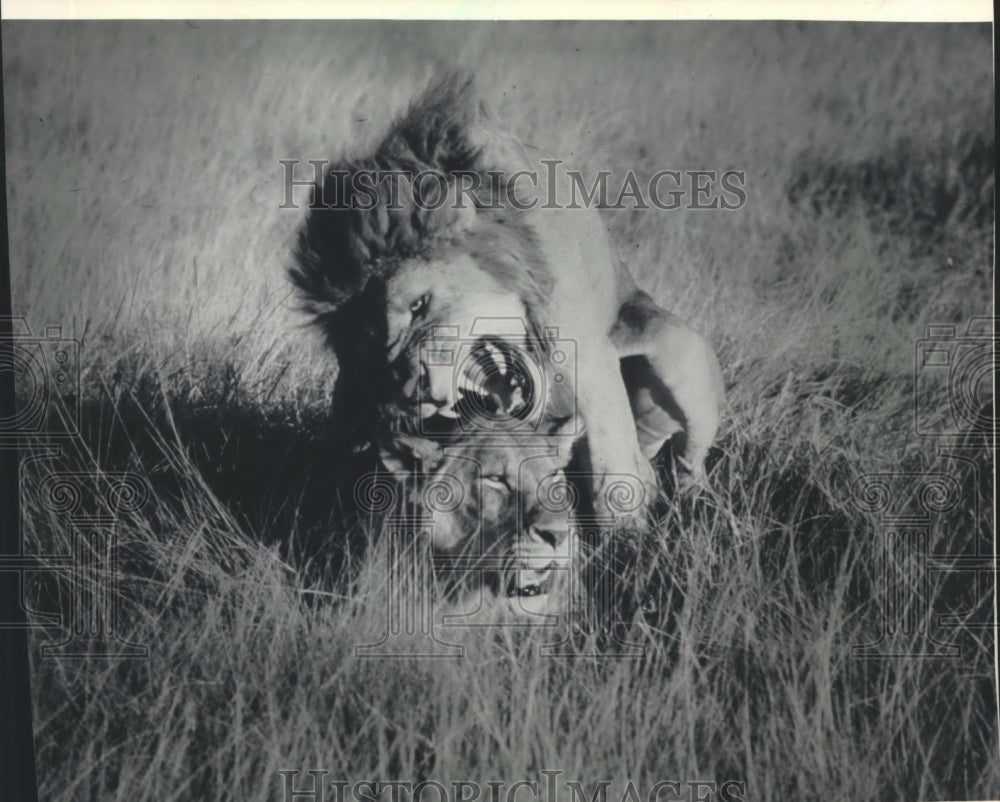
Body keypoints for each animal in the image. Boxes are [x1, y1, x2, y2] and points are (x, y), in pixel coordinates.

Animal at [292, 73, 724, 524]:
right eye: (375, 340)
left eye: (419, 305)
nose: (417, 390)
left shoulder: (585, 355)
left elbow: (611, 466)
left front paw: (625, 539)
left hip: (679, 353)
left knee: (686, 463)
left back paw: (694, 508)